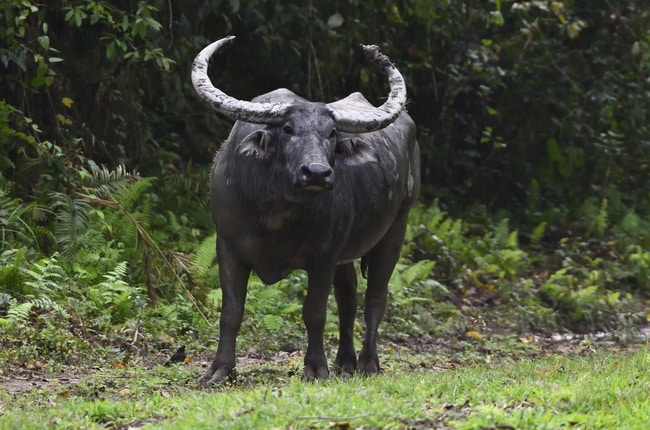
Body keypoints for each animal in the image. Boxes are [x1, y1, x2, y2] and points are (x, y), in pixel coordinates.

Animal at [190, 37, 418, 384]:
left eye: (332, 132)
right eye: (287, 129)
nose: (317, 173)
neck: (274, 215)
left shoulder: (323, 255)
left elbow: (314, 312)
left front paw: (316, 368)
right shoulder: (227, 247)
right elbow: (231, 311)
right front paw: (219, 370)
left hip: (396, 228)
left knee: (375, 297)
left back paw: (368, 363)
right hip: (346, 253)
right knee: (349, 299)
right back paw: (345, 362)